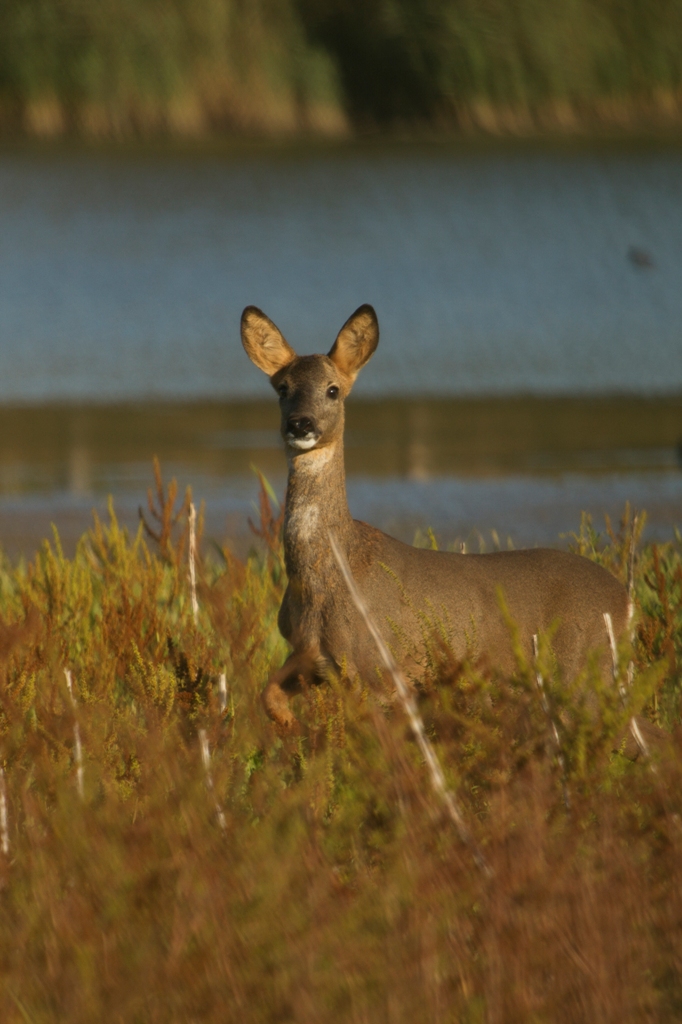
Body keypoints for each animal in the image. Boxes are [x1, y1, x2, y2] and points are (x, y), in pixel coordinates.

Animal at [238, 301, 638, 745]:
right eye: (282, 389)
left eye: (333, 389)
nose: (301, 424)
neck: (331, 573)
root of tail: (625, 602)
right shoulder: (311, 656)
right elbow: (268, 696)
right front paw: (291, 730)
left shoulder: (377, 666)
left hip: (583, 668)